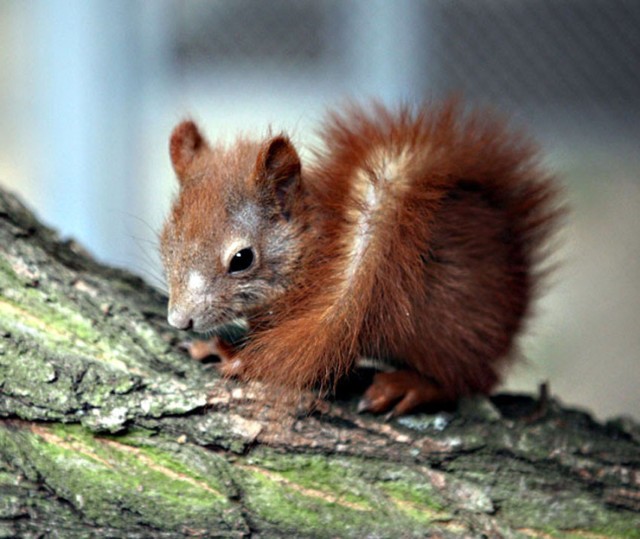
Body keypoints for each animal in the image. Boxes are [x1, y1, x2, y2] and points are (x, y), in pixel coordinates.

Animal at [161, 103, 560, 420]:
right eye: (166, 242)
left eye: (242, 259)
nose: (179, 320)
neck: (311, 249)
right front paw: (215, 345)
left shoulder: (334, 312)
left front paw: (231, 356)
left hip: (448, 326)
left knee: (467, 379)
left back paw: (410, 387)